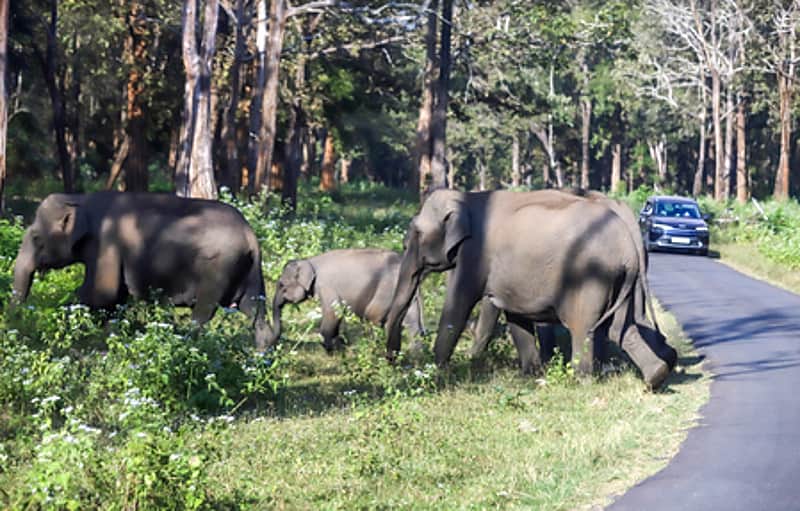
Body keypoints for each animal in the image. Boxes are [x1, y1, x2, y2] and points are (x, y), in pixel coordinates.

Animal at [12, 192, 272, 349]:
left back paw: (187, 344)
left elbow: (100, 293)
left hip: (218, 268)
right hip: (249, 272)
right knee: (254, 311)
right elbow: (112, 298)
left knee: (203, 313)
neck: (80, 199)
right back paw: (261, 355)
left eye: (36, 238)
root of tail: (250, 235)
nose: (18, 320)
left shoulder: (106, 242)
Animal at [266, 248, 425, 352]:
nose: (272, 346)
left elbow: (333, 312)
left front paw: (330, 348)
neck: (309, 261)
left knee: (375, 318)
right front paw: (338, 344)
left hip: (387, 290)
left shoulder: (326, 286)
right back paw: (414, 356)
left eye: (282, 285)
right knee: (411, 325)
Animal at [384, 189, 677, 388]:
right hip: (622, 279)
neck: (466, 197)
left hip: (590, 277)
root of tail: (629, 245)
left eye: (417, 233)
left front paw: (438, 371)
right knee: (620, 329)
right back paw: (657, 376)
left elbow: (459, 305)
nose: (392, 360)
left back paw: (580, 381)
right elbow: (515, 316)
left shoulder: (474, 255)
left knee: (585, 327)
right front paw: (531, 374)